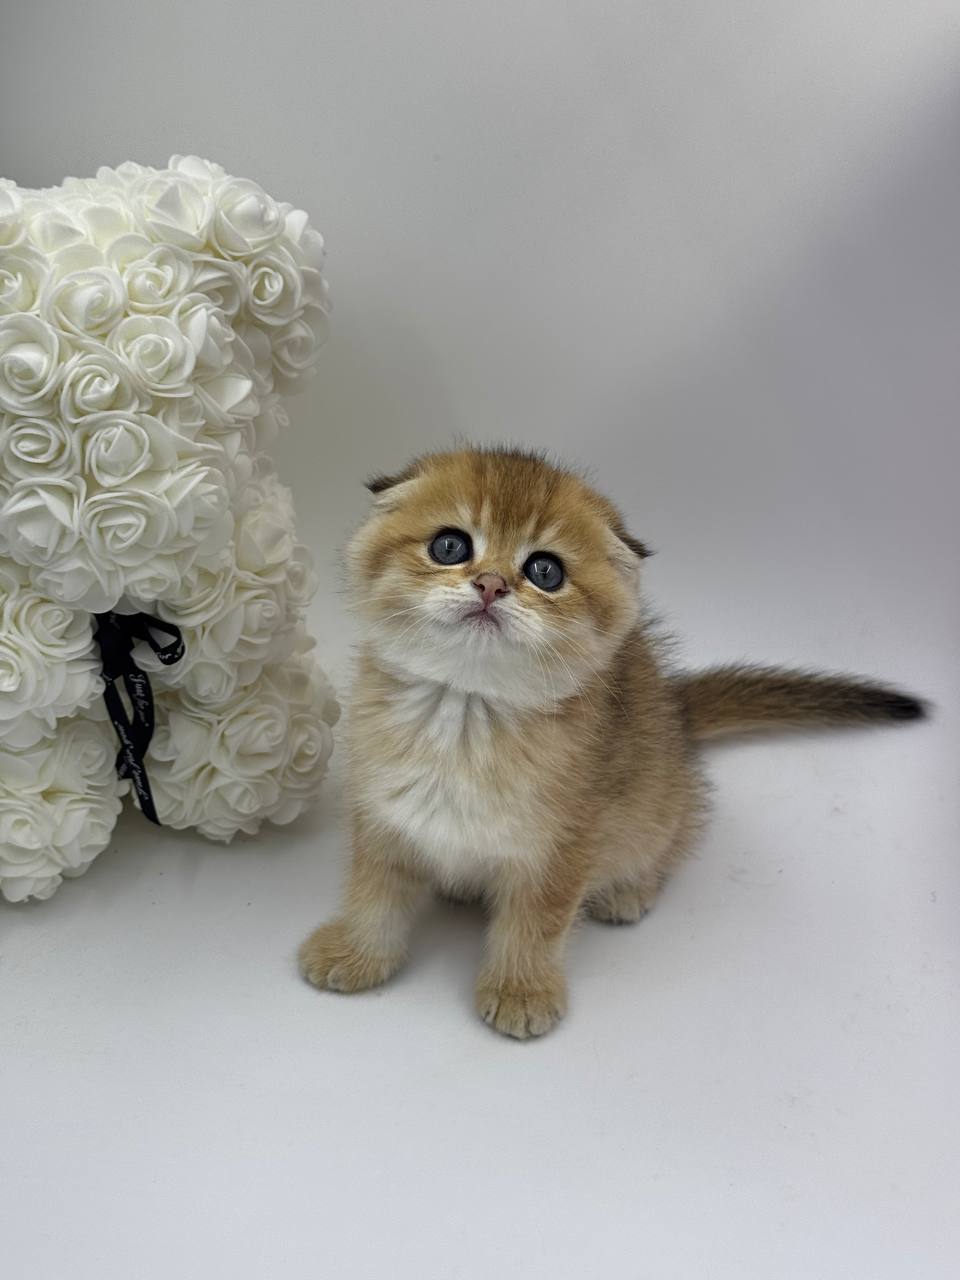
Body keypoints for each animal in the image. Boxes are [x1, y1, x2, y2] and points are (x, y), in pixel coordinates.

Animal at [299, 445, 926, 1034]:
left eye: (545, 571)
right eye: (450, 546)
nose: (492, 584)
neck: (465, 714)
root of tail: (677, 712)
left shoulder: (566, 845)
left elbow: (537, 924)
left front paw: (522, 990)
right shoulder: (383, 818)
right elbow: (374, 896)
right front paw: (354, 953)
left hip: (659, 802)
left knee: (670, 840)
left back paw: (629, 891)